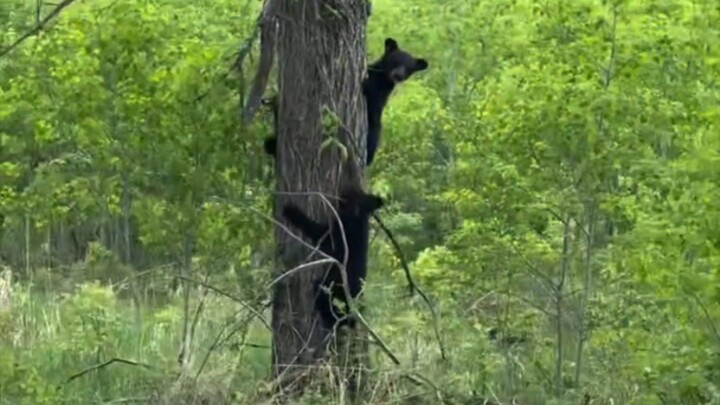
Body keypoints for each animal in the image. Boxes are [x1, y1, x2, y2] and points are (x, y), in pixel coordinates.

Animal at [261, 38, 428, 166]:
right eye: (395, 60)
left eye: (409, 68)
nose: (398, 75)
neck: (382, 77)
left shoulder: (381, 93)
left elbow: (373, 95)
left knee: (374, 133)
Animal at [281, 187, 385, 330]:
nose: (344, 189)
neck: (357, 214)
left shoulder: (336, 229)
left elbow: (316, 230)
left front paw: (290, 210)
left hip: (331, 286)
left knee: (323, 297)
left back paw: (330, 321)